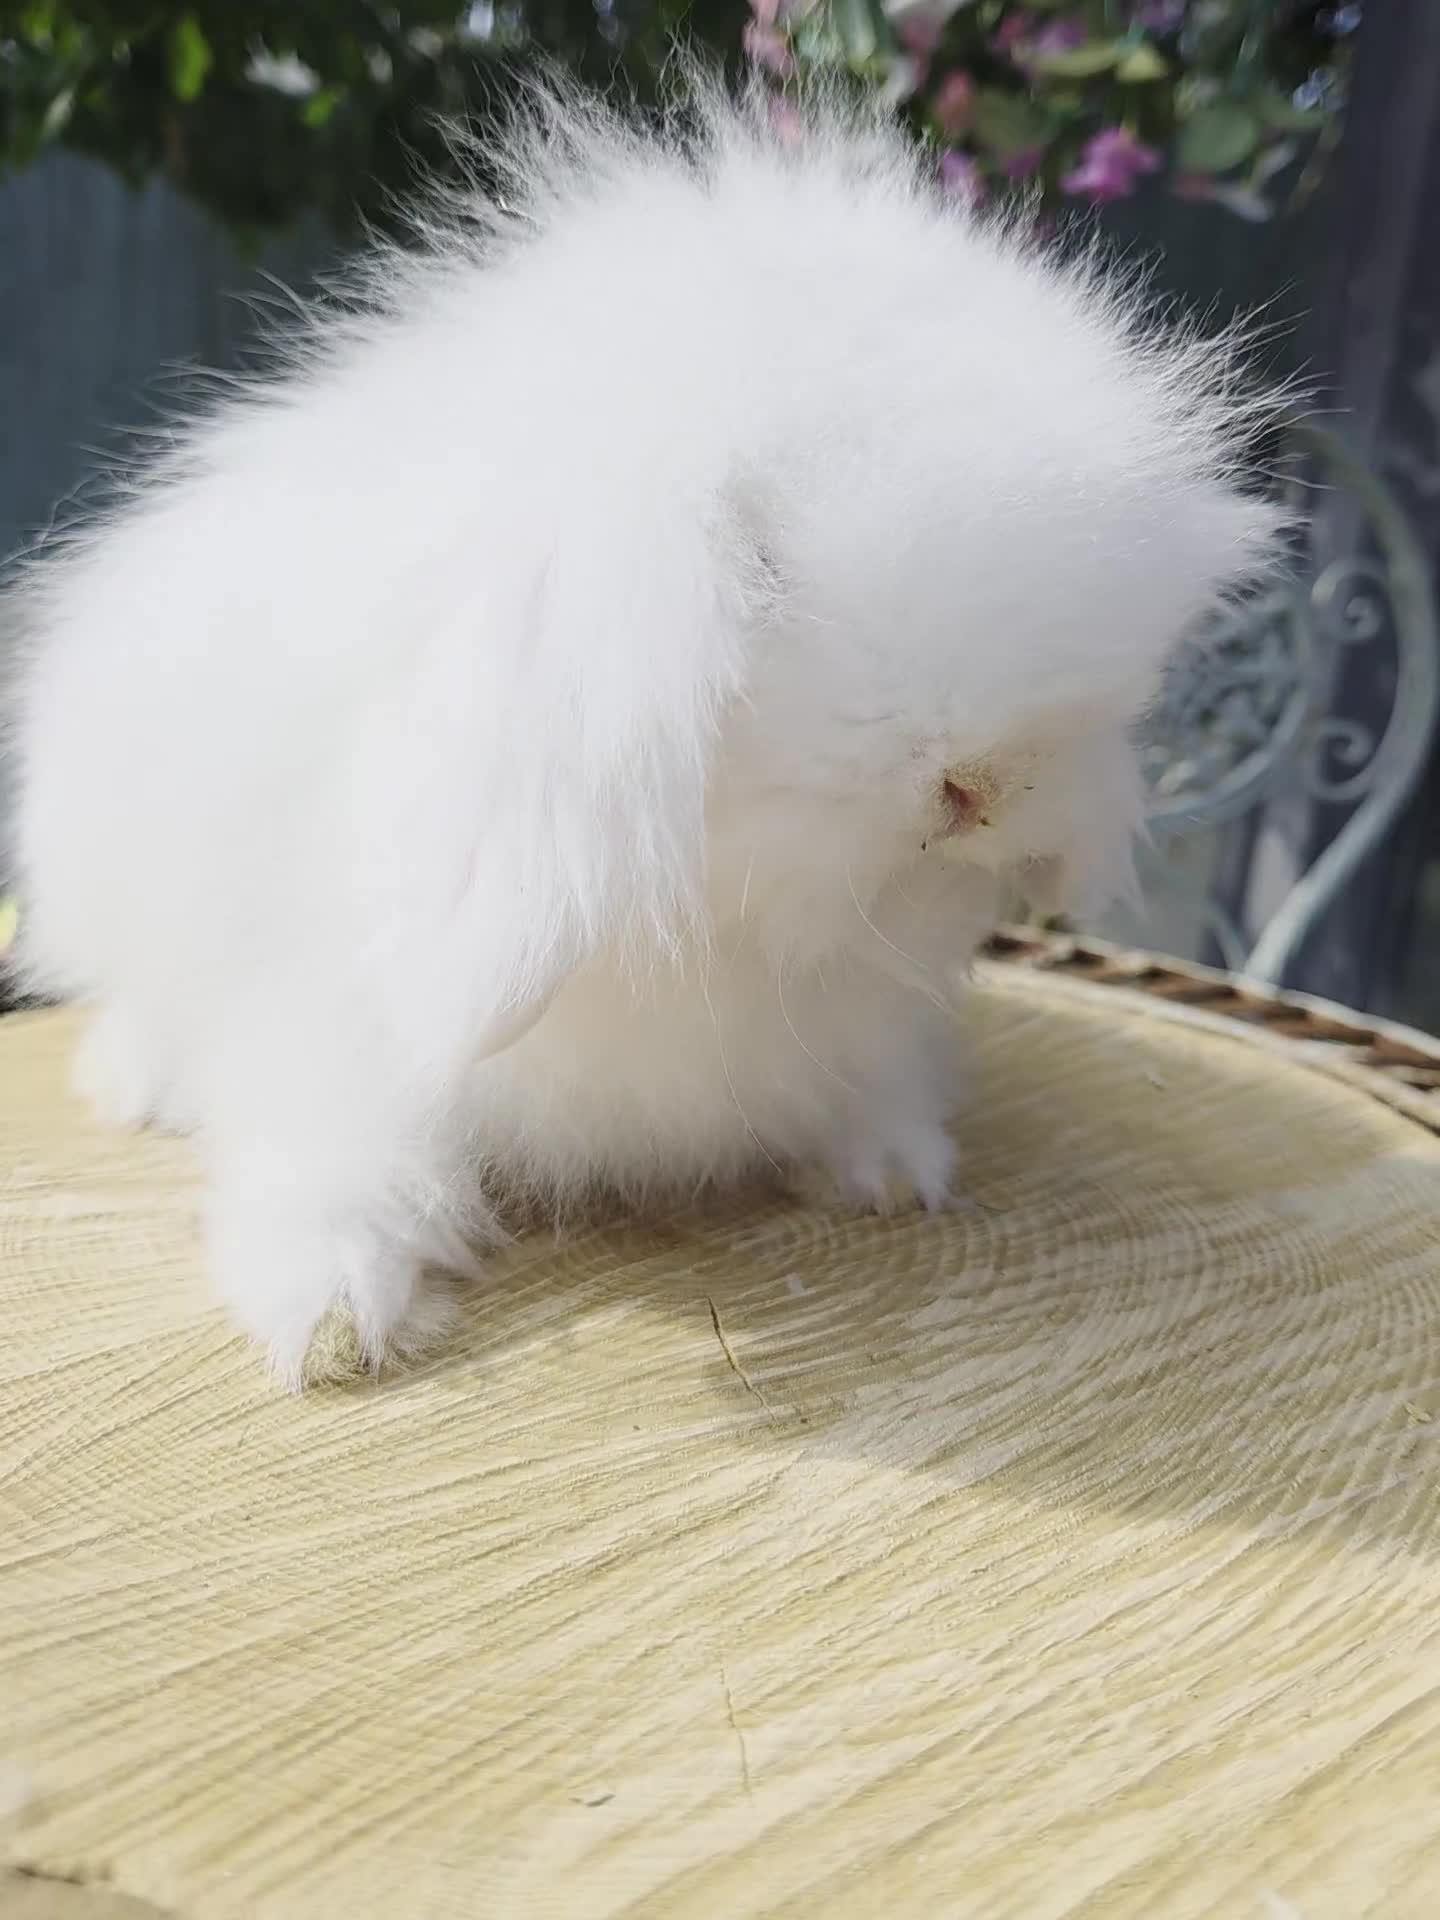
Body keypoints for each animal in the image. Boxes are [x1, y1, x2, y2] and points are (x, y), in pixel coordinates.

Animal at [5, 74, 1282, 1385]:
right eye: (763, 568)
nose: (988, 783)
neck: (718, 933)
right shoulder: (329, 1015)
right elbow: (343, 1153)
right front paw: (335, 1323)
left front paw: (891, 1170)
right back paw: (134, 1086)